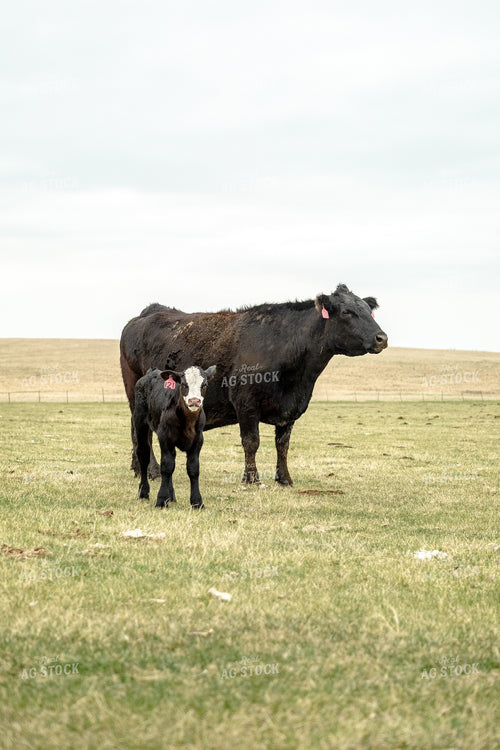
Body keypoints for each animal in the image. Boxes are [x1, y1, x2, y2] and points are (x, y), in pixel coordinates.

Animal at [120, 283, 388, 487]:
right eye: (346, 312)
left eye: (368, 310)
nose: (382, 338)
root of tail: (150, 312)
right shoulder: (246, 404)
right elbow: (252, 441)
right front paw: (252, 479)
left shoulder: (289, 410)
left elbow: (283, 445)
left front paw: (285, 479)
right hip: (136, 394)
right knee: (142, 432)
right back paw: (152, 471)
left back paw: (138, 467)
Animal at [134, 365, 216, 508]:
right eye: (183, 384)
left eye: (204, 384)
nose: (194, 401)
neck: (188, 423)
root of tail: (150, 373)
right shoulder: (165, 437)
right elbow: (166, 467)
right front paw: (161, 500)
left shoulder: (198, 441)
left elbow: (193, 469)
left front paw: (197, 502)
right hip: (140, 423)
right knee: (144, 455)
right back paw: (144, 492)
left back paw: (171, 497)